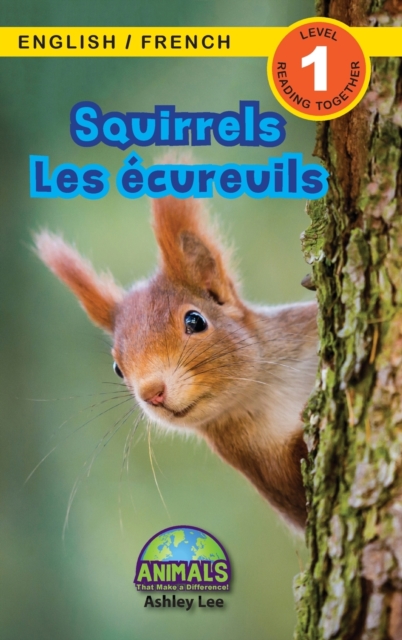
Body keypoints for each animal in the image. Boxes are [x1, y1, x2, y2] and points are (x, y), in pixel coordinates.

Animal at [35, 196, 318, 531]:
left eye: (195, 321)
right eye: (117, 369)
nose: (152, 393)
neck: (267, 389)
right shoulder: (263, 467)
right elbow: (299, 497)